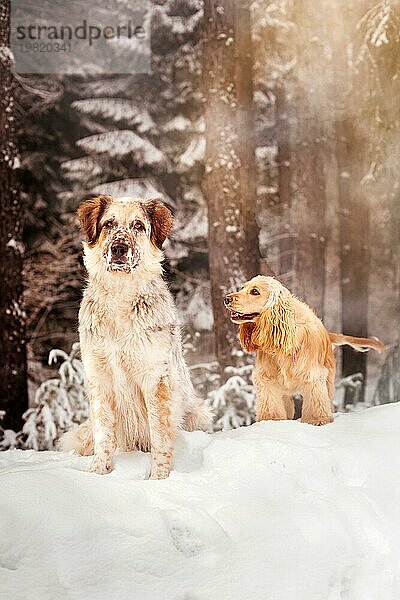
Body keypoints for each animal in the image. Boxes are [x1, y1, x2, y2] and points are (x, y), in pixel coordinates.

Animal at [61, 196, 211, 478]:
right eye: (109, 224)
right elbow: (104, 433)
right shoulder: (99, 377)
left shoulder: (155, 379)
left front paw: (159, 478)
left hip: (197, 413)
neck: (120, 295)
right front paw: (99, 472)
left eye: (138, 226)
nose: (119, 248)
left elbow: (160, 436)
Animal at [225, 276, 384, 426]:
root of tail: (327, 334)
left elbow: (316, 402)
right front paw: (271, 420)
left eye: (255, 291)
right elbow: (270, 404)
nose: (227, 299)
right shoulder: (267, 379)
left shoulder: (313, 376)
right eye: (242, 287)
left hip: (328, 380)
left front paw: (318, 420)